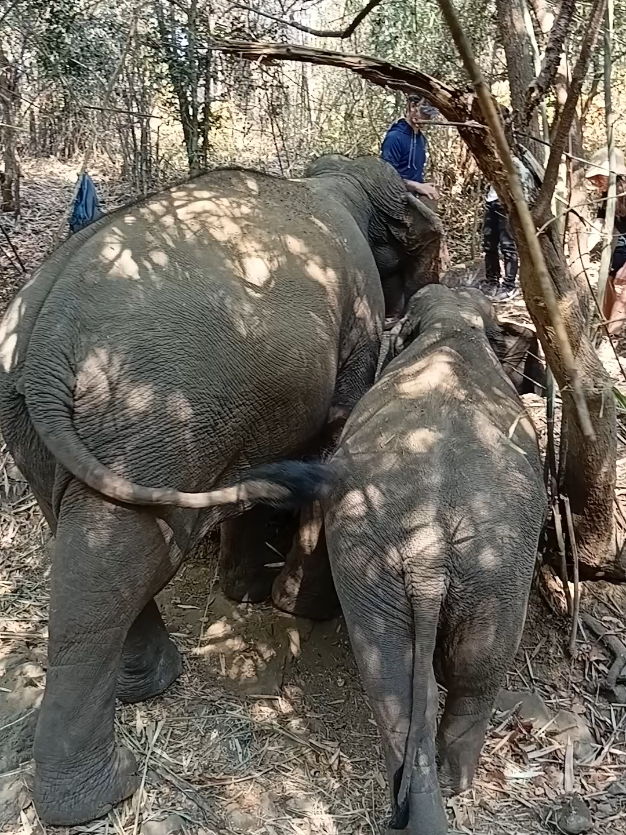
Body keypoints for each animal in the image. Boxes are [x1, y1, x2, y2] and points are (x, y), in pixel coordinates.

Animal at [0, 156, 439, 826]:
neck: (335, 180)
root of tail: (48, 336)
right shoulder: (357, 325)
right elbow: (334, 428)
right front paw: (281, 598)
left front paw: (247, 591)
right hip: (150, 421)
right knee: (126, 557)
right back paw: (104, 792)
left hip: (48, 430)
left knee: (97, 554)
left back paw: (144, 690)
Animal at [275, 285, 548, 834]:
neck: (452, 327)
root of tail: (429, 551)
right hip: (482, 576)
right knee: (465, 671)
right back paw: (449, 785)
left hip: (410, 569)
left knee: (407, 679)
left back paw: (432, 791)